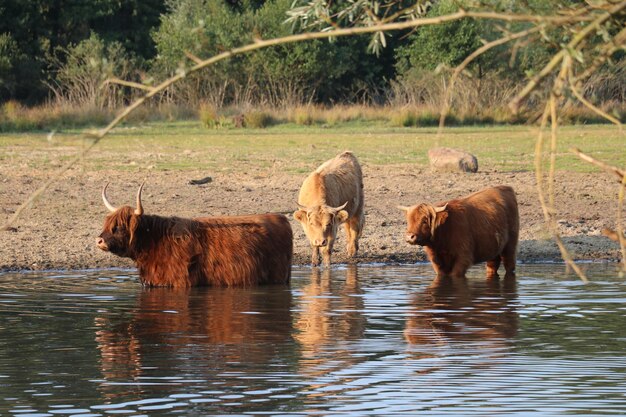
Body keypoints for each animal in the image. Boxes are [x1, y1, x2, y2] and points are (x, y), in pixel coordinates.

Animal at [96, 182, 292, 286]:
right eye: (108, 224)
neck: (155, 241)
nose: (99, 240)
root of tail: (280, 217)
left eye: (120, 227)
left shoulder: (179, 282)